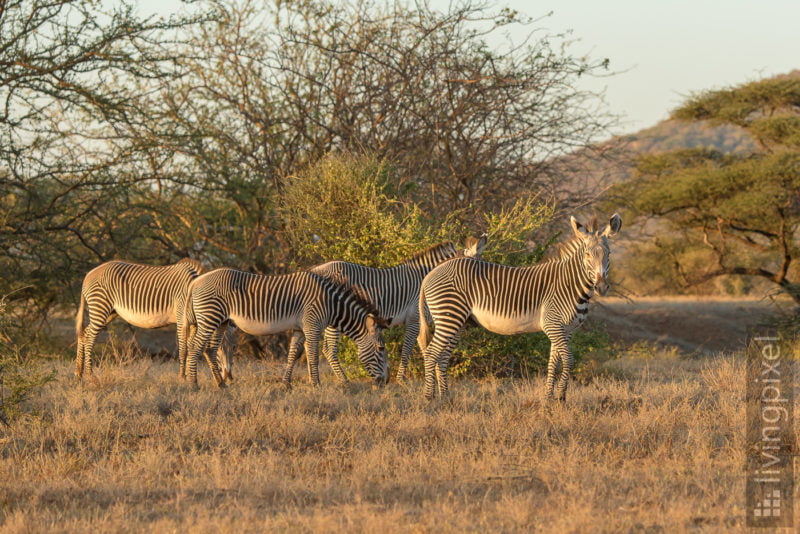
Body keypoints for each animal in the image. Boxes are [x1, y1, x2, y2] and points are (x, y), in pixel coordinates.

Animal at [73, 258, 230, 382]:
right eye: (223, 349)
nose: (228, 378)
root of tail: (89, 274)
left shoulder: (194, 324)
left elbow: (192, 347)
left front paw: (191, 376)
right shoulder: (181, 317)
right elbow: (184, 349)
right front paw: (182, 378)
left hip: (110, 312)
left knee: (85, 332)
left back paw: (79, 374)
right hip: (100, 306)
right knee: (90, 337)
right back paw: (91, 376)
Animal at [182, 268, 394, 390]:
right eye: (381, 349)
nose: (385, 382)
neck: (331, 302)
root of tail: (196, 281)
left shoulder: (300, 328)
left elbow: (293, 354)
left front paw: (286, 384)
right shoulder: (312, 325)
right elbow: (313, 355)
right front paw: (316, 385)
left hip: (221, 321)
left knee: (209, 349)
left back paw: (221, 384)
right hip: (210, 317)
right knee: (195, 348)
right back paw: (193, 385)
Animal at [292, 237, 488, 384]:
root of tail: (316, 269)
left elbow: (424, 348)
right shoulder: (415, 318)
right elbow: (407, 349)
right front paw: (401, 380)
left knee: (310, 344)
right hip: (335, 315)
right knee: (328, 349)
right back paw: (344, 380)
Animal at [418, 214, 624, 402]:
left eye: (609, 255)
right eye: (587, 255)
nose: (602, 287)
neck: (570, 285)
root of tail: (430, 274)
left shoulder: (565, 330)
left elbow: (553, 362)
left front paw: (549, 399)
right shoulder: (553, 325)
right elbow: (568, 359)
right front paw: (561, 398)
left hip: (458, 321)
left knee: (442, 356)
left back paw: (445, 398)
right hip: (449, 317)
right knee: (432, 353)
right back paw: (429, 398)